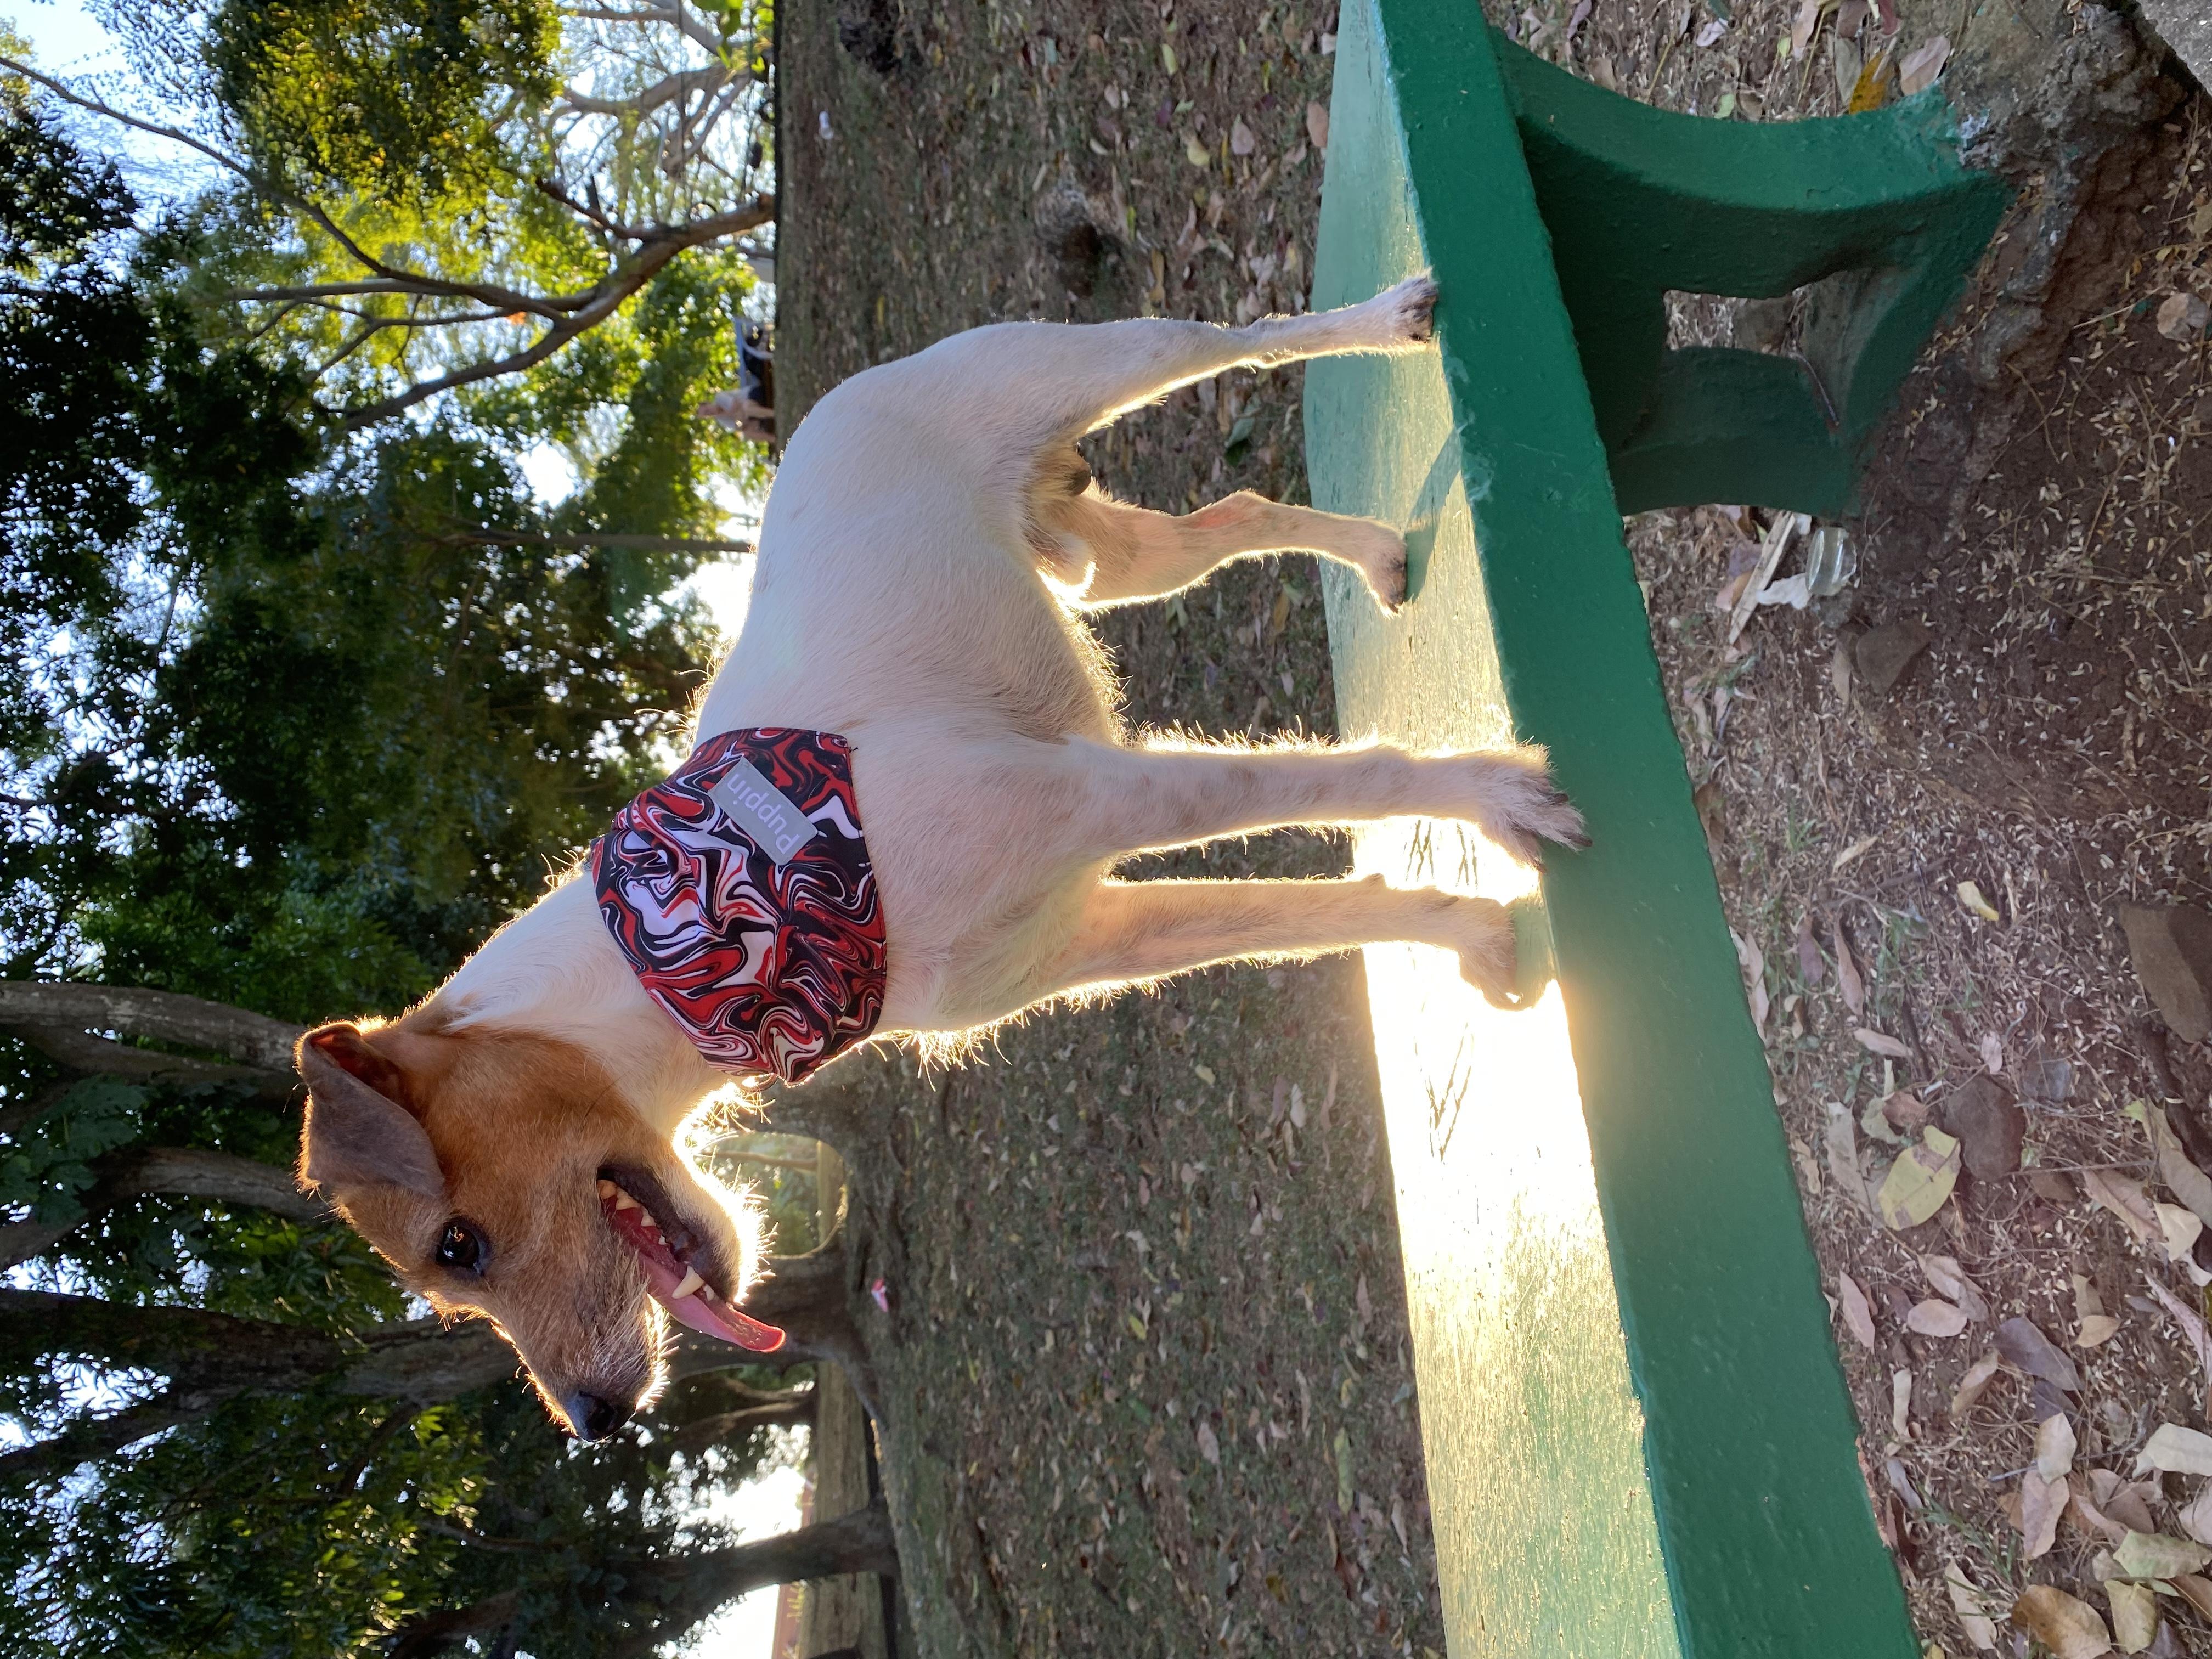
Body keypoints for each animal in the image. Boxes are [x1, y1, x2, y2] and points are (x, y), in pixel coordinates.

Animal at [295, 276, 1586, 1441]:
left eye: (460, 1242)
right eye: (449, 1279)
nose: (593, 1423)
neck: (698, 925)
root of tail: (828, 397)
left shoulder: (1107, 796)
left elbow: (1355, 778)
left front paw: (1500, 797)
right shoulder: (1079, 940)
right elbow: (1318, 917)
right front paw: (1480, 939)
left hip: (1109, 363)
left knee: (1247, 338)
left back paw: (1392, 316)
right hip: (1095, 563)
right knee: (1235, 517)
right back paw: (1374, 556)